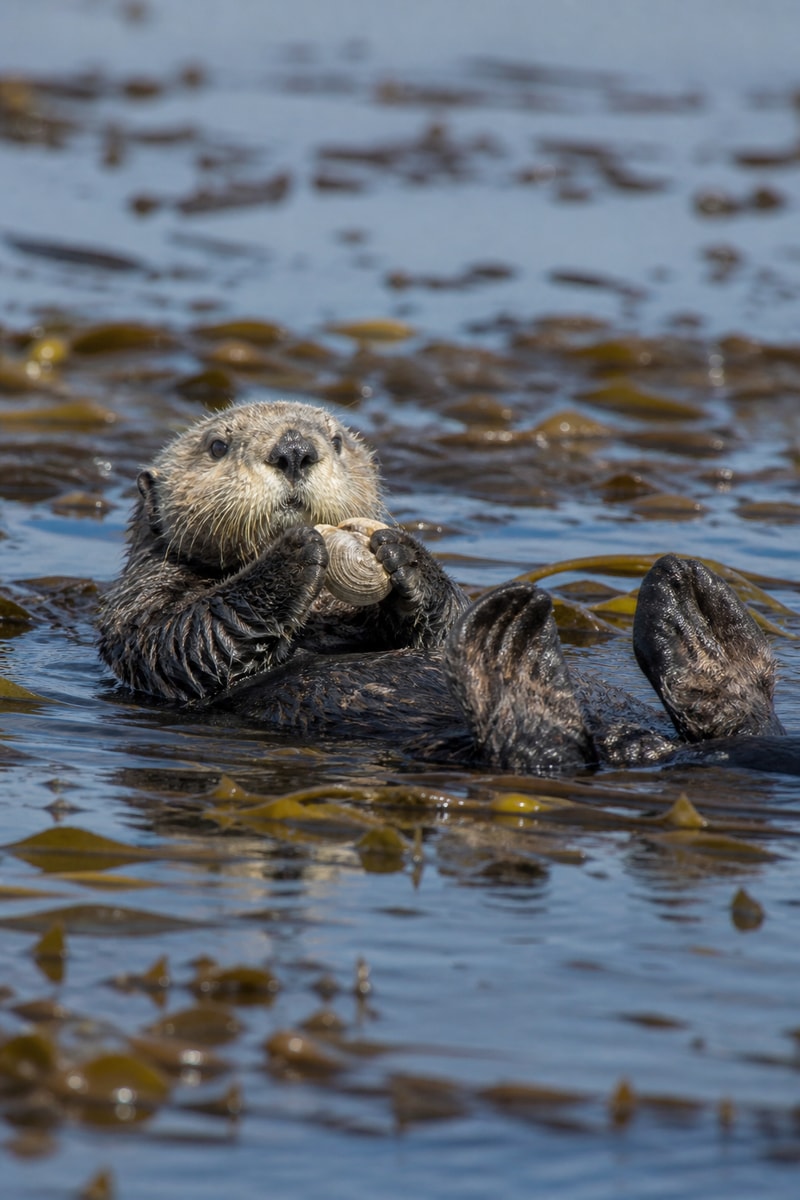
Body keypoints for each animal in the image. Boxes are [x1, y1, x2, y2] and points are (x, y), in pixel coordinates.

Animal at [97, 400, 800, 776]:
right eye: (218, 445)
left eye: (337, 439)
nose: (295, 449)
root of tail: (644, 748)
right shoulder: (141, 616)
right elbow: (194, 637)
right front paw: (295, 549)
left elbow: (442, 628)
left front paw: (403, 555)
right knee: (543, 750)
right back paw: (515, 641)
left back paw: (692, 603)